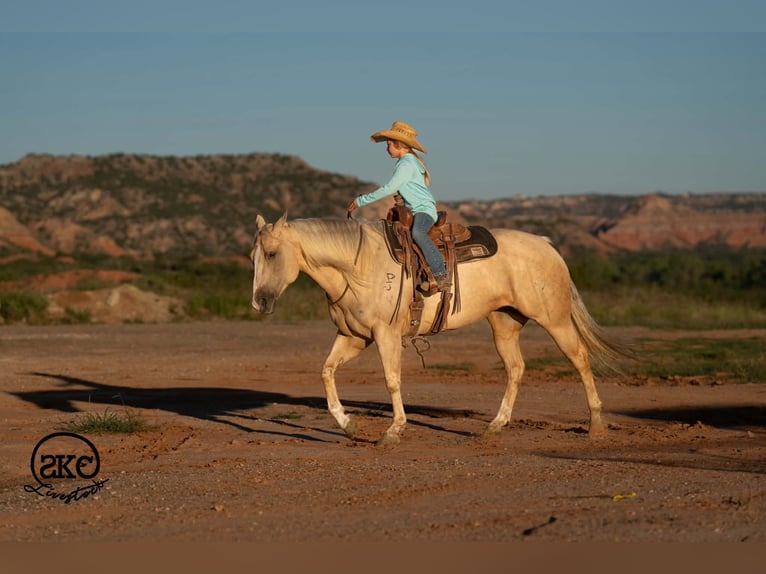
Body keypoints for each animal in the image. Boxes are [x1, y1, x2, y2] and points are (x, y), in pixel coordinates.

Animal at [250, 213, 629, 445]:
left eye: (272, 254)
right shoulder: (354, 337)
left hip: (554, 320)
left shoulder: (385, 335)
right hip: (504, 324)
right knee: (516, 368)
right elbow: (326, 372)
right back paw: (495, 425)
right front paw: (348, 424)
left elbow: (392, 380)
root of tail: (545, 243)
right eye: (252, 256)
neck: (358, 266)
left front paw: (393, 430)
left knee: (579, 358)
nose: (259, 303)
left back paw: (596, 425)